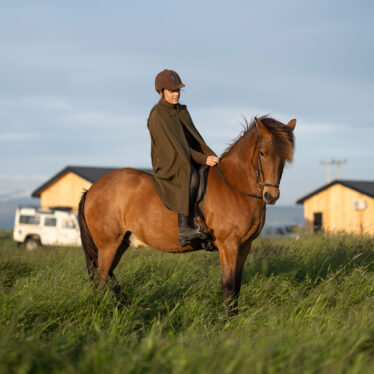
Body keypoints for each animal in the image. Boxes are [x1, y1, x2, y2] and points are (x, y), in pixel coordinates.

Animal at [78, 115, 296, 314]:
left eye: (285, 158)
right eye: (263, 153)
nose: (271, 196)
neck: (235, 185)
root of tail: (92, 189)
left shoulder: (244, 245)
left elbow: (237, 287)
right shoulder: (229, 245)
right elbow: (228, 285)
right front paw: (226, 321)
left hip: (120, 243)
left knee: (108, 278)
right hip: (108, 245)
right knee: (101, 279)